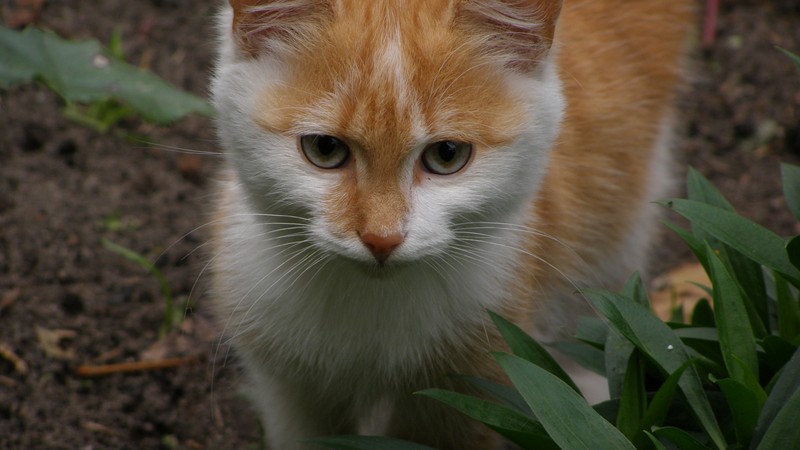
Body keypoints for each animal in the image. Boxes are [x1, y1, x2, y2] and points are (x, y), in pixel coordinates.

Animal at [211, 0, 692, 446]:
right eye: (325, 149)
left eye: (447, 155)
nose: (381, 238)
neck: (373, 304)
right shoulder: (290, 383)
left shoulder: (472, 381)